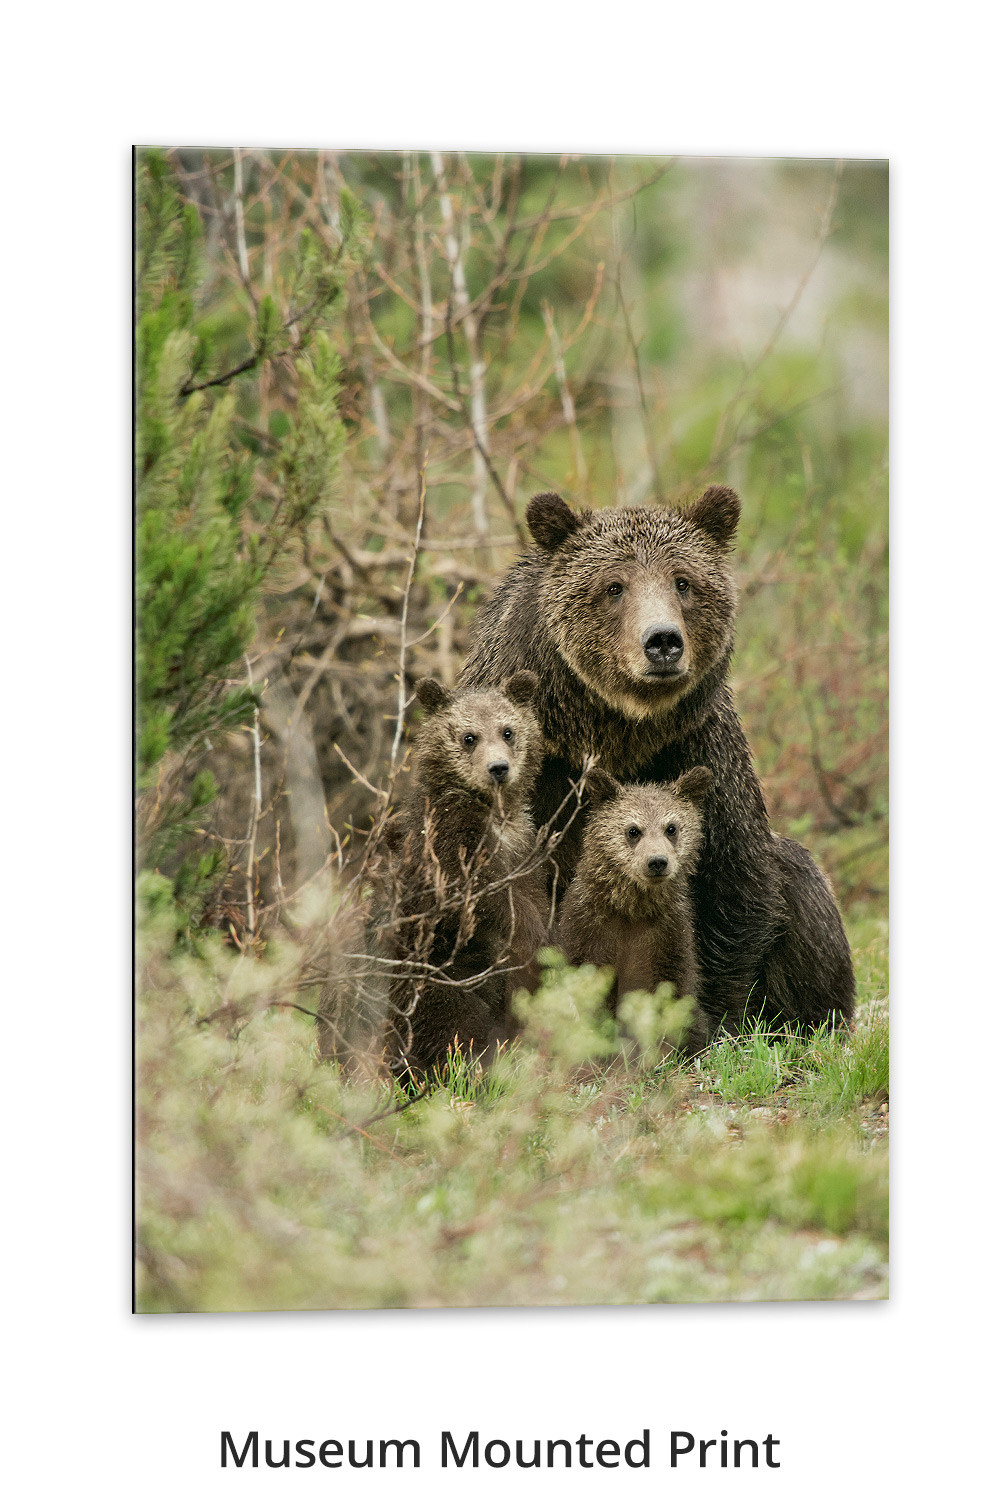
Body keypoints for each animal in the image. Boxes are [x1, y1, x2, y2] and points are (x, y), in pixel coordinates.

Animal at [374, 670, 551, 1082]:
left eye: (507, 731)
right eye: (469, 737)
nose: (498, 768)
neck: (494, 813)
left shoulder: (522, 844)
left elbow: (532, 894)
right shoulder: (449, 836)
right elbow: (482, 898)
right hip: (433, 978)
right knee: (455, 1024)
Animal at [556, 766, 713, 1053]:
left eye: (671, 828)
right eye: (633, 830)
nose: (657, 862)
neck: (632, 908)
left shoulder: (668, 935)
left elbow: (673, 992)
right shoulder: (590, 929)